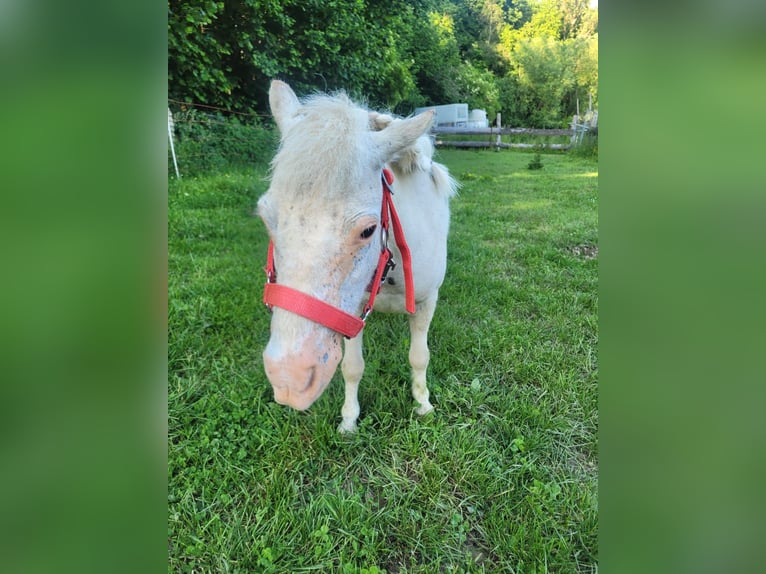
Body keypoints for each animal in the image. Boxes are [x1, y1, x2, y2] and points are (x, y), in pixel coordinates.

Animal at [258, 80, 462, 432]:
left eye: (368, 230)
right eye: (266, 218)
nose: (290, 380)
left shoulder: (426, 301)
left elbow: (419, 355)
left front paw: (423, 404)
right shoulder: (351, 311)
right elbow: (352, 366)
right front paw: (349, 420)